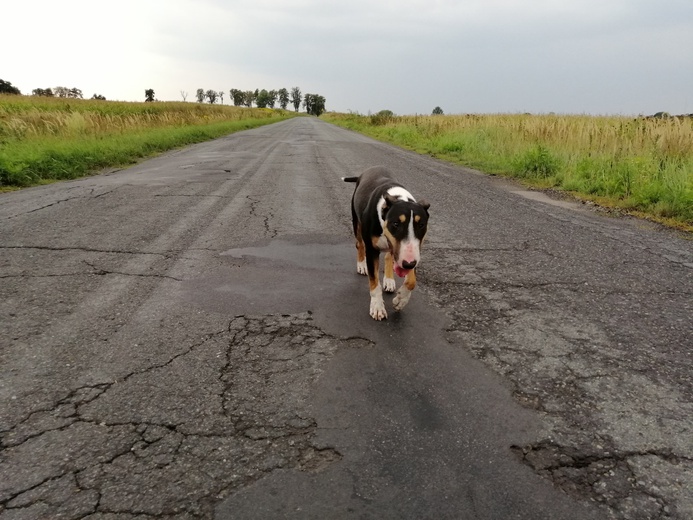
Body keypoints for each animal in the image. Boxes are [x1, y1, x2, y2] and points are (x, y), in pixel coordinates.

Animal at [340, 167, 428, 320]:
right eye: (396, 224)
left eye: (421, 225)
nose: (408, 264)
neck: (398, 198)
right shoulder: (372, 251)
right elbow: (374, 283)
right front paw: (377, 307)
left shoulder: (413, 251)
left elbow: (412, 281)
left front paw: (400, 300)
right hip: (357, 222)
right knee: (359, 244)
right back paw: (361, 265)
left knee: (388, 256)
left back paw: (389, 280)